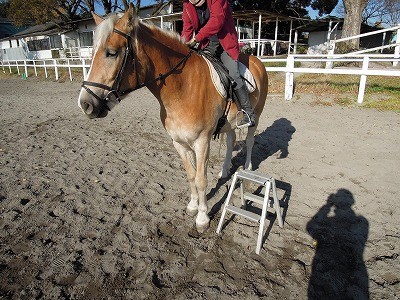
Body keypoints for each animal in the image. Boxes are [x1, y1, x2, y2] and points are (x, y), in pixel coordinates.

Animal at [77, 4, 268, 232]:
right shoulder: (179, 142)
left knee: (249, 141)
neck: (183, 87)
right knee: (231, 141)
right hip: (229, 125)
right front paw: (193, 206)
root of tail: (255, 59)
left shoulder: (202, 142)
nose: (86, 104)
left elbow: (201, 179)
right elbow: (191, 175)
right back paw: (223, 171)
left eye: (111, 53)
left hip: (256, 115)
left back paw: (247, 169)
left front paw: (202, 218)